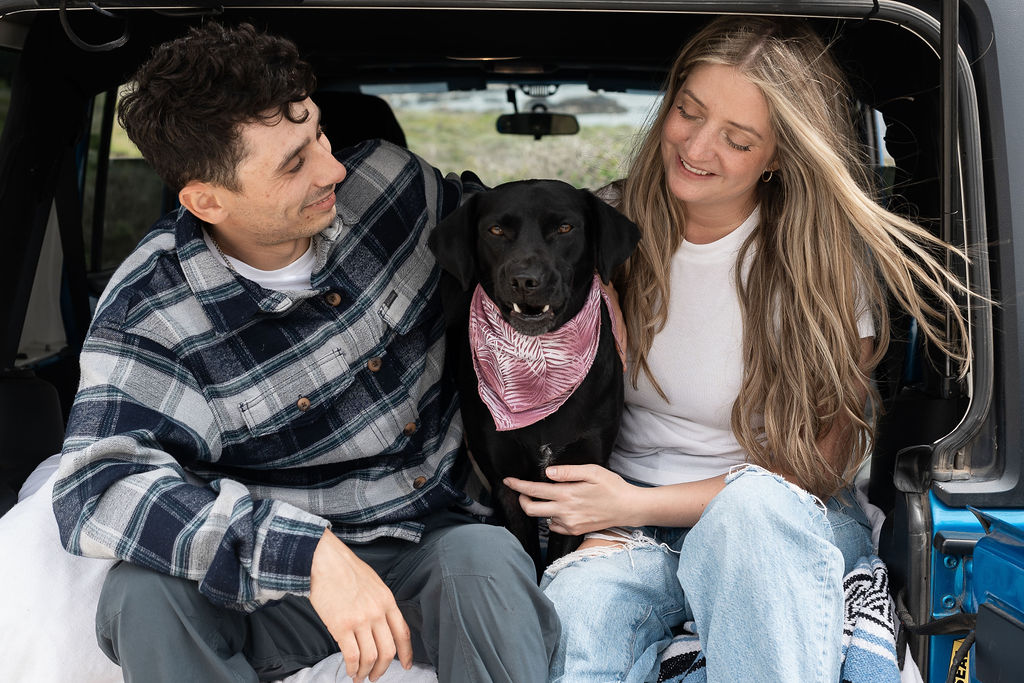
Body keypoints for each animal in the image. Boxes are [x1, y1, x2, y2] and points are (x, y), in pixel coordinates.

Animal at [425, 180, 634, 573]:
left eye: (565, 228)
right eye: (496, 230)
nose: (524, 280)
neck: (540, 367)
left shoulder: (577, 486)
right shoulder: (507, 484)